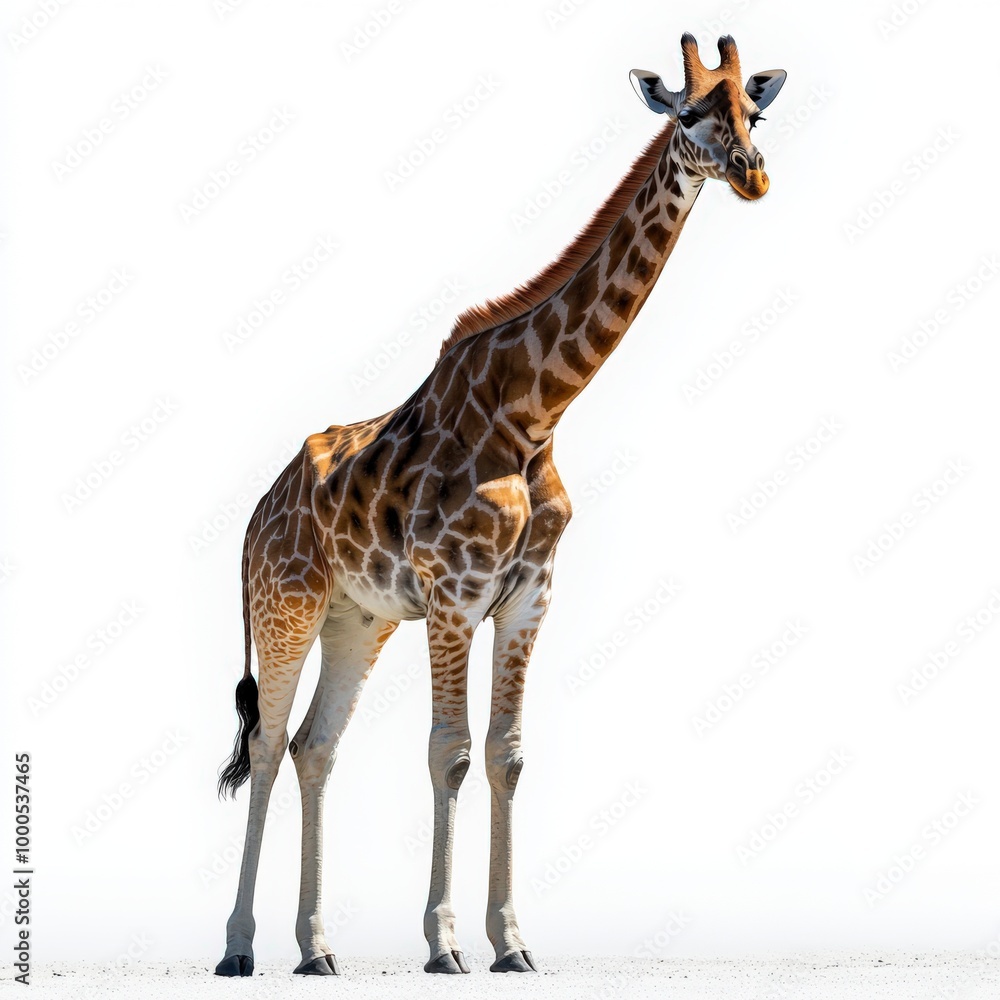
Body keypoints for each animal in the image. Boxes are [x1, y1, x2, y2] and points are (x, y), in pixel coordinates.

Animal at [214, 32, 785, 977]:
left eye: (755, 112)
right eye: (689, 114)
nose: (754, 176)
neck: (534, 414)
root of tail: (255, 517)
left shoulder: (527, 599)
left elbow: (506, 755)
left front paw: (512, 941)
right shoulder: (454, 596)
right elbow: (447, 753)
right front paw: (445, 943)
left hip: (356, 619)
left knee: (314, 746)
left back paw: (317, 948)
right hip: (285, 606)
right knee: (264, 741)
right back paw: (237, 947)